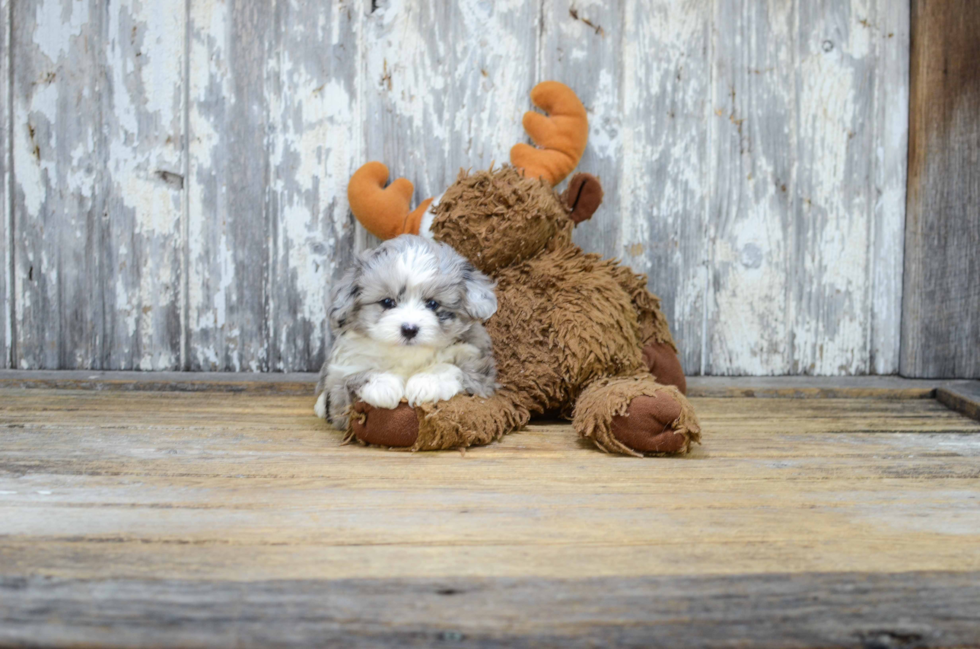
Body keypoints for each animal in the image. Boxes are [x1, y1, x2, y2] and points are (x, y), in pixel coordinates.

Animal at [314, 234, 498, 430]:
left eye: (432, 304)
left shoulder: (477, 364)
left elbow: (453, 367)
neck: (407, 355)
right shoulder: (341, 376)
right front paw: (383, 385)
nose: (409, 329)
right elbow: (351, 378)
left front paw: (427, 381)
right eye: (387, 302)